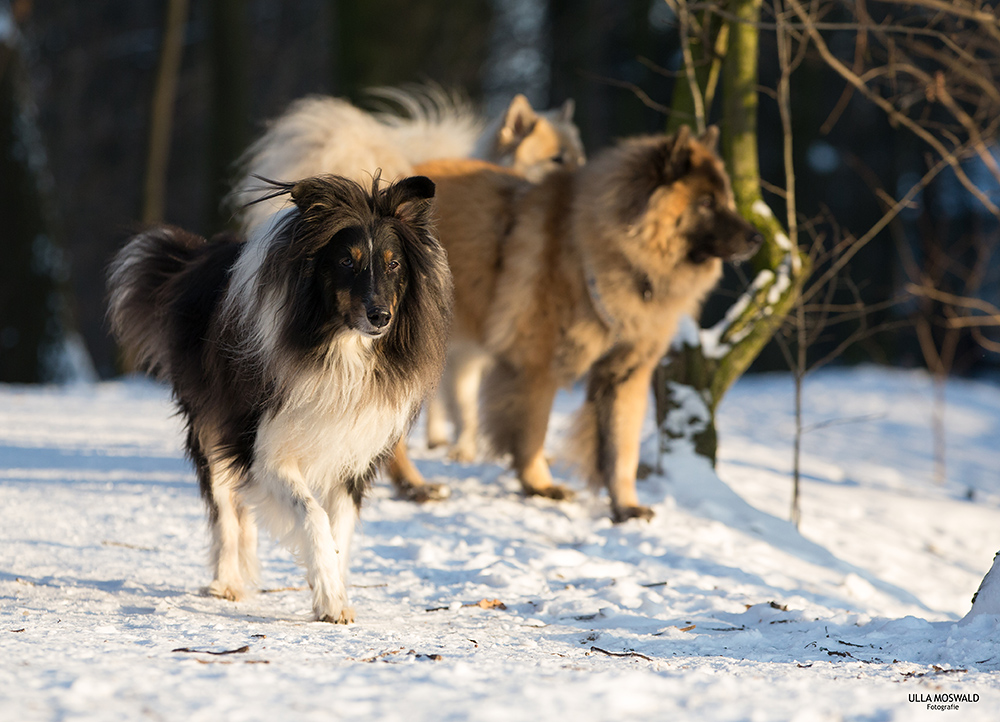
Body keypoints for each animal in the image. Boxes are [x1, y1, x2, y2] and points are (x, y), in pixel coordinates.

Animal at [107, 173, 452, 620]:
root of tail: (197, 257)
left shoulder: (353, 453)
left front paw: (332, 593)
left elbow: (338, 527)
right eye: (346, 261)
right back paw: (227, 582)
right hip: (210, 426)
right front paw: (329, 596)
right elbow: (311, 514)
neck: (338, 350)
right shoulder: (262, 448)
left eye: (394, 264)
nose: (380, 317)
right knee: (225, 510)